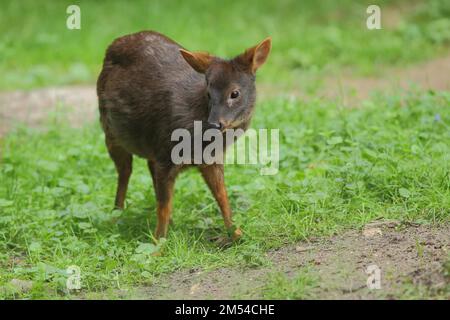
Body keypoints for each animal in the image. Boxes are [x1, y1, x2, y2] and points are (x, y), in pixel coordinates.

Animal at [97, 31, 270, 241]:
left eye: (235, 93)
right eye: (208, 93)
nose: (214, 123)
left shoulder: (210, 159)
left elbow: (222, 195)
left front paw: (235, 232)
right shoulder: (165, 153)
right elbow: (164, 205)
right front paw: (158, 242)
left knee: (147, 168)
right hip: (111, 132)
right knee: (125, 172)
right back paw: (116, 216)